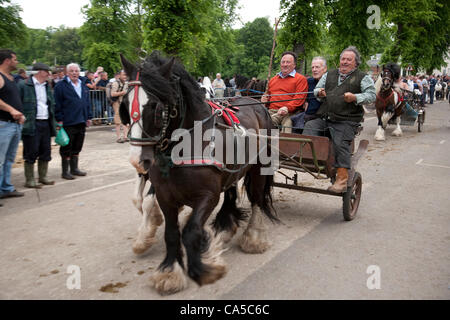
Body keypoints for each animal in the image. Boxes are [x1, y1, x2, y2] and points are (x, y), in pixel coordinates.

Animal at [118, 52, 278, 296]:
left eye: (156, 107)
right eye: (125, 105)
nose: (138, 160)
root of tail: (257, 103)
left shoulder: (207, 196)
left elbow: (190, 231)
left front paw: (205, 267)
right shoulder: (165, 196)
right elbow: (171, 232)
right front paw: (169, 271)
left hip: (260, 166)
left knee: (257, 198)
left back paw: (253, 237)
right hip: (232, 169)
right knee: (231, 193)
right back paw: (224, 226)